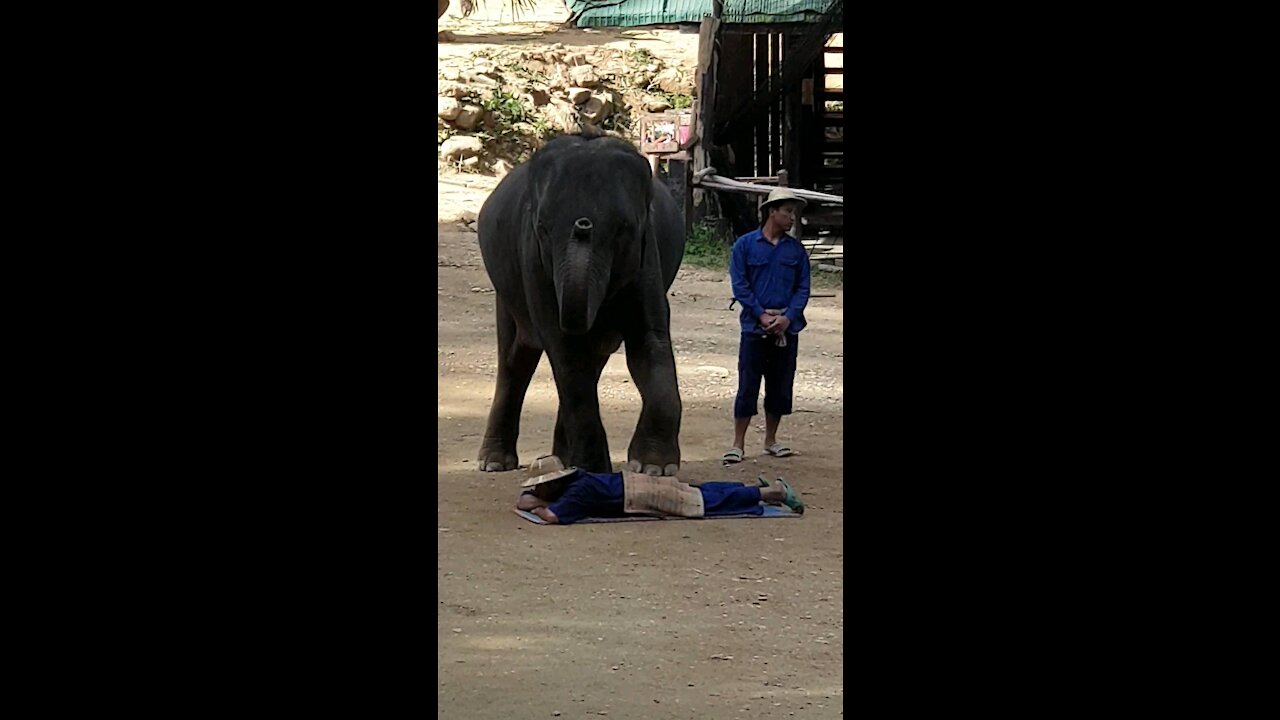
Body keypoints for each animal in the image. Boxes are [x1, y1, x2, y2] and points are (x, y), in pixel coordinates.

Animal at [473, 131, 691, 474]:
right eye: (543, 227)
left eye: (624, 229)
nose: (583, 225)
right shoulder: (533, 261)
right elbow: (564, 350)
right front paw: (593, 469)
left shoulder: (647, 258)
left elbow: (649, 342)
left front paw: (652, 468)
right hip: (505, 291)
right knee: (515, 359)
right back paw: (496, 462)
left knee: (590, 361)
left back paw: (560, 458)